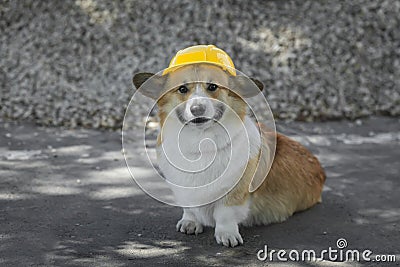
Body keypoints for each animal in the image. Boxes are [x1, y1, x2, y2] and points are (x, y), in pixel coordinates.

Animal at [133, 63, 326, 248]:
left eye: (212, 87)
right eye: (182, 89)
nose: (197, 109)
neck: (201, 144)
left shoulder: (235, 194)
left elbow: (225, 214)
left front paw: (227, 234)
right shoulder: (183, 191)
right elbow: (190, 209)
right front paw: (190, 222)